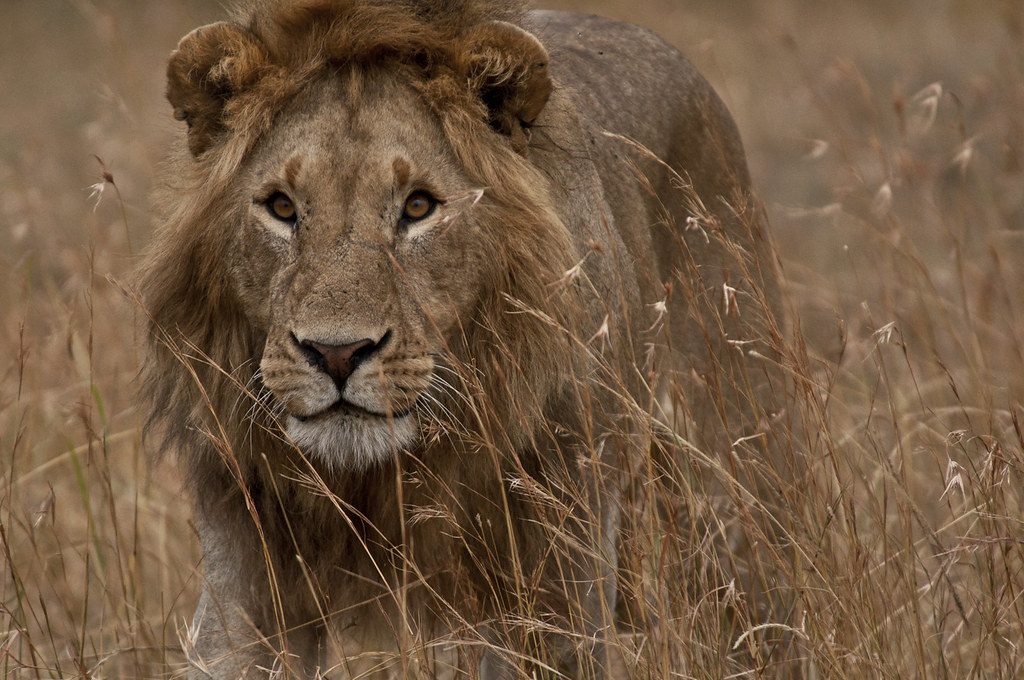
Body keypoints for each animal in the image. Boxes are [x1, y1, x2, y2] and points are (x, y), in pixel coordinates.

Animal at [140, 1, 782, 680]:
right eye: (282, 208)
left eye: (419, 207)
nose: (337, 354)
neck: (379, 479)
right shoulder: (246, 575)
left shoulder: (558, 571)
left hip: (733, 489)